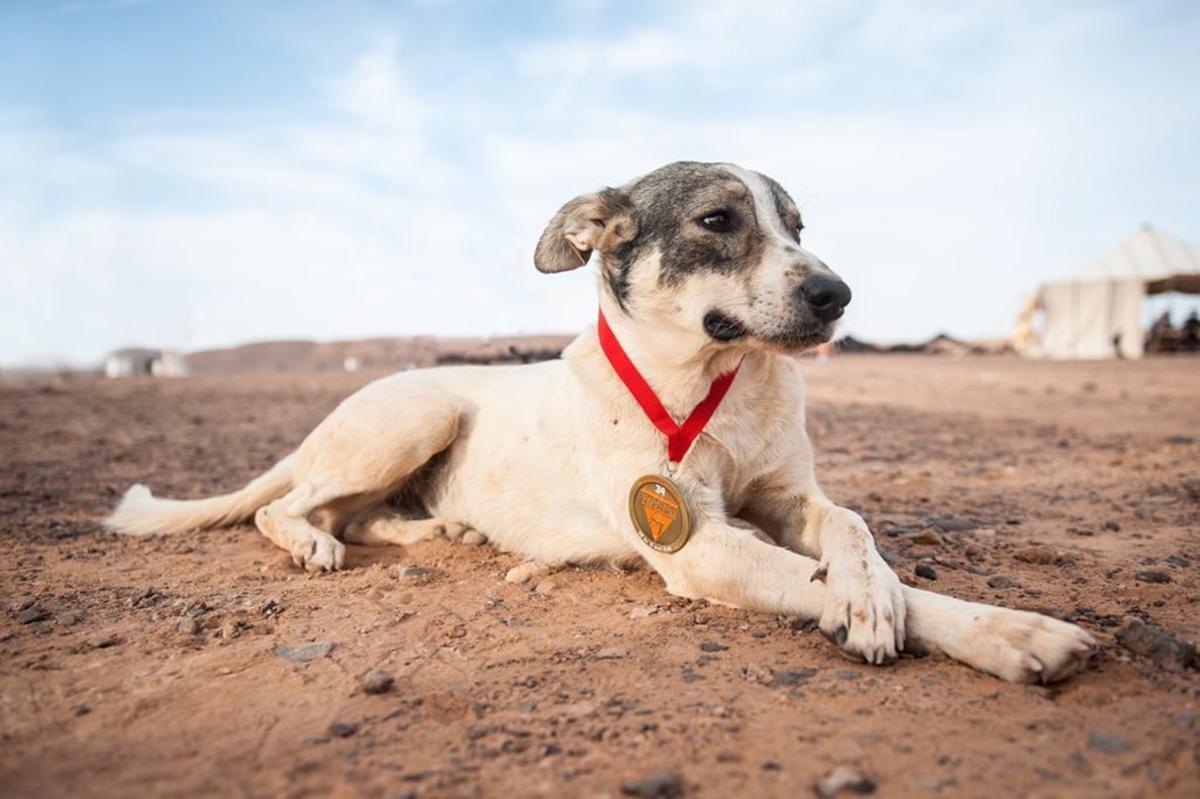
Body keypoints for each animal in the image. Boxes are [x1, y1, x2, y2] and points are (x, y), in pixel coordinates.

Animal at [110, 160, 1099, 676]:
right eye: (718, 219)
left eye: (798, 224)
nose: (837, 294)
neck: (711, 382)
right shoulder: (696, 543)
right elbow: (831, 581)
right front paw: (1009, 630)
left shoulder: (790, 496)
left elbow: (852, 526)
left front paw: (871, 588)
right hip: (418, 414)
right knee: (289, 508)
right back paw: (318, 541)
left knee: (358, 512)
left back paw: (441, 531)